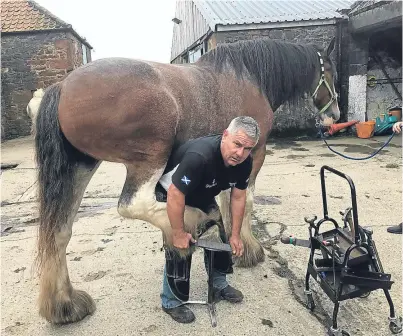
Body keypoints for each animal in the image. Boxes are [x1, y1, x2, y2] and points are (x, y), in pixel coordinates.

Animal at [34, 36, 340, 322]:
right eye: (331, 72)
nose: (335, 115)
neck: (249, 78)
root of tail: (62, 87)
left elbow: (229, 202)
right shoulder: (255, 154)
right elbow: (246, 202)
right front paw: (248, 250)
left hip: (80, 166)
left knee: (59, 231)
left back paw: (65, 305)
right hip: (150, 155)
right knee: (133, 204)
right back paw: (187, 225)